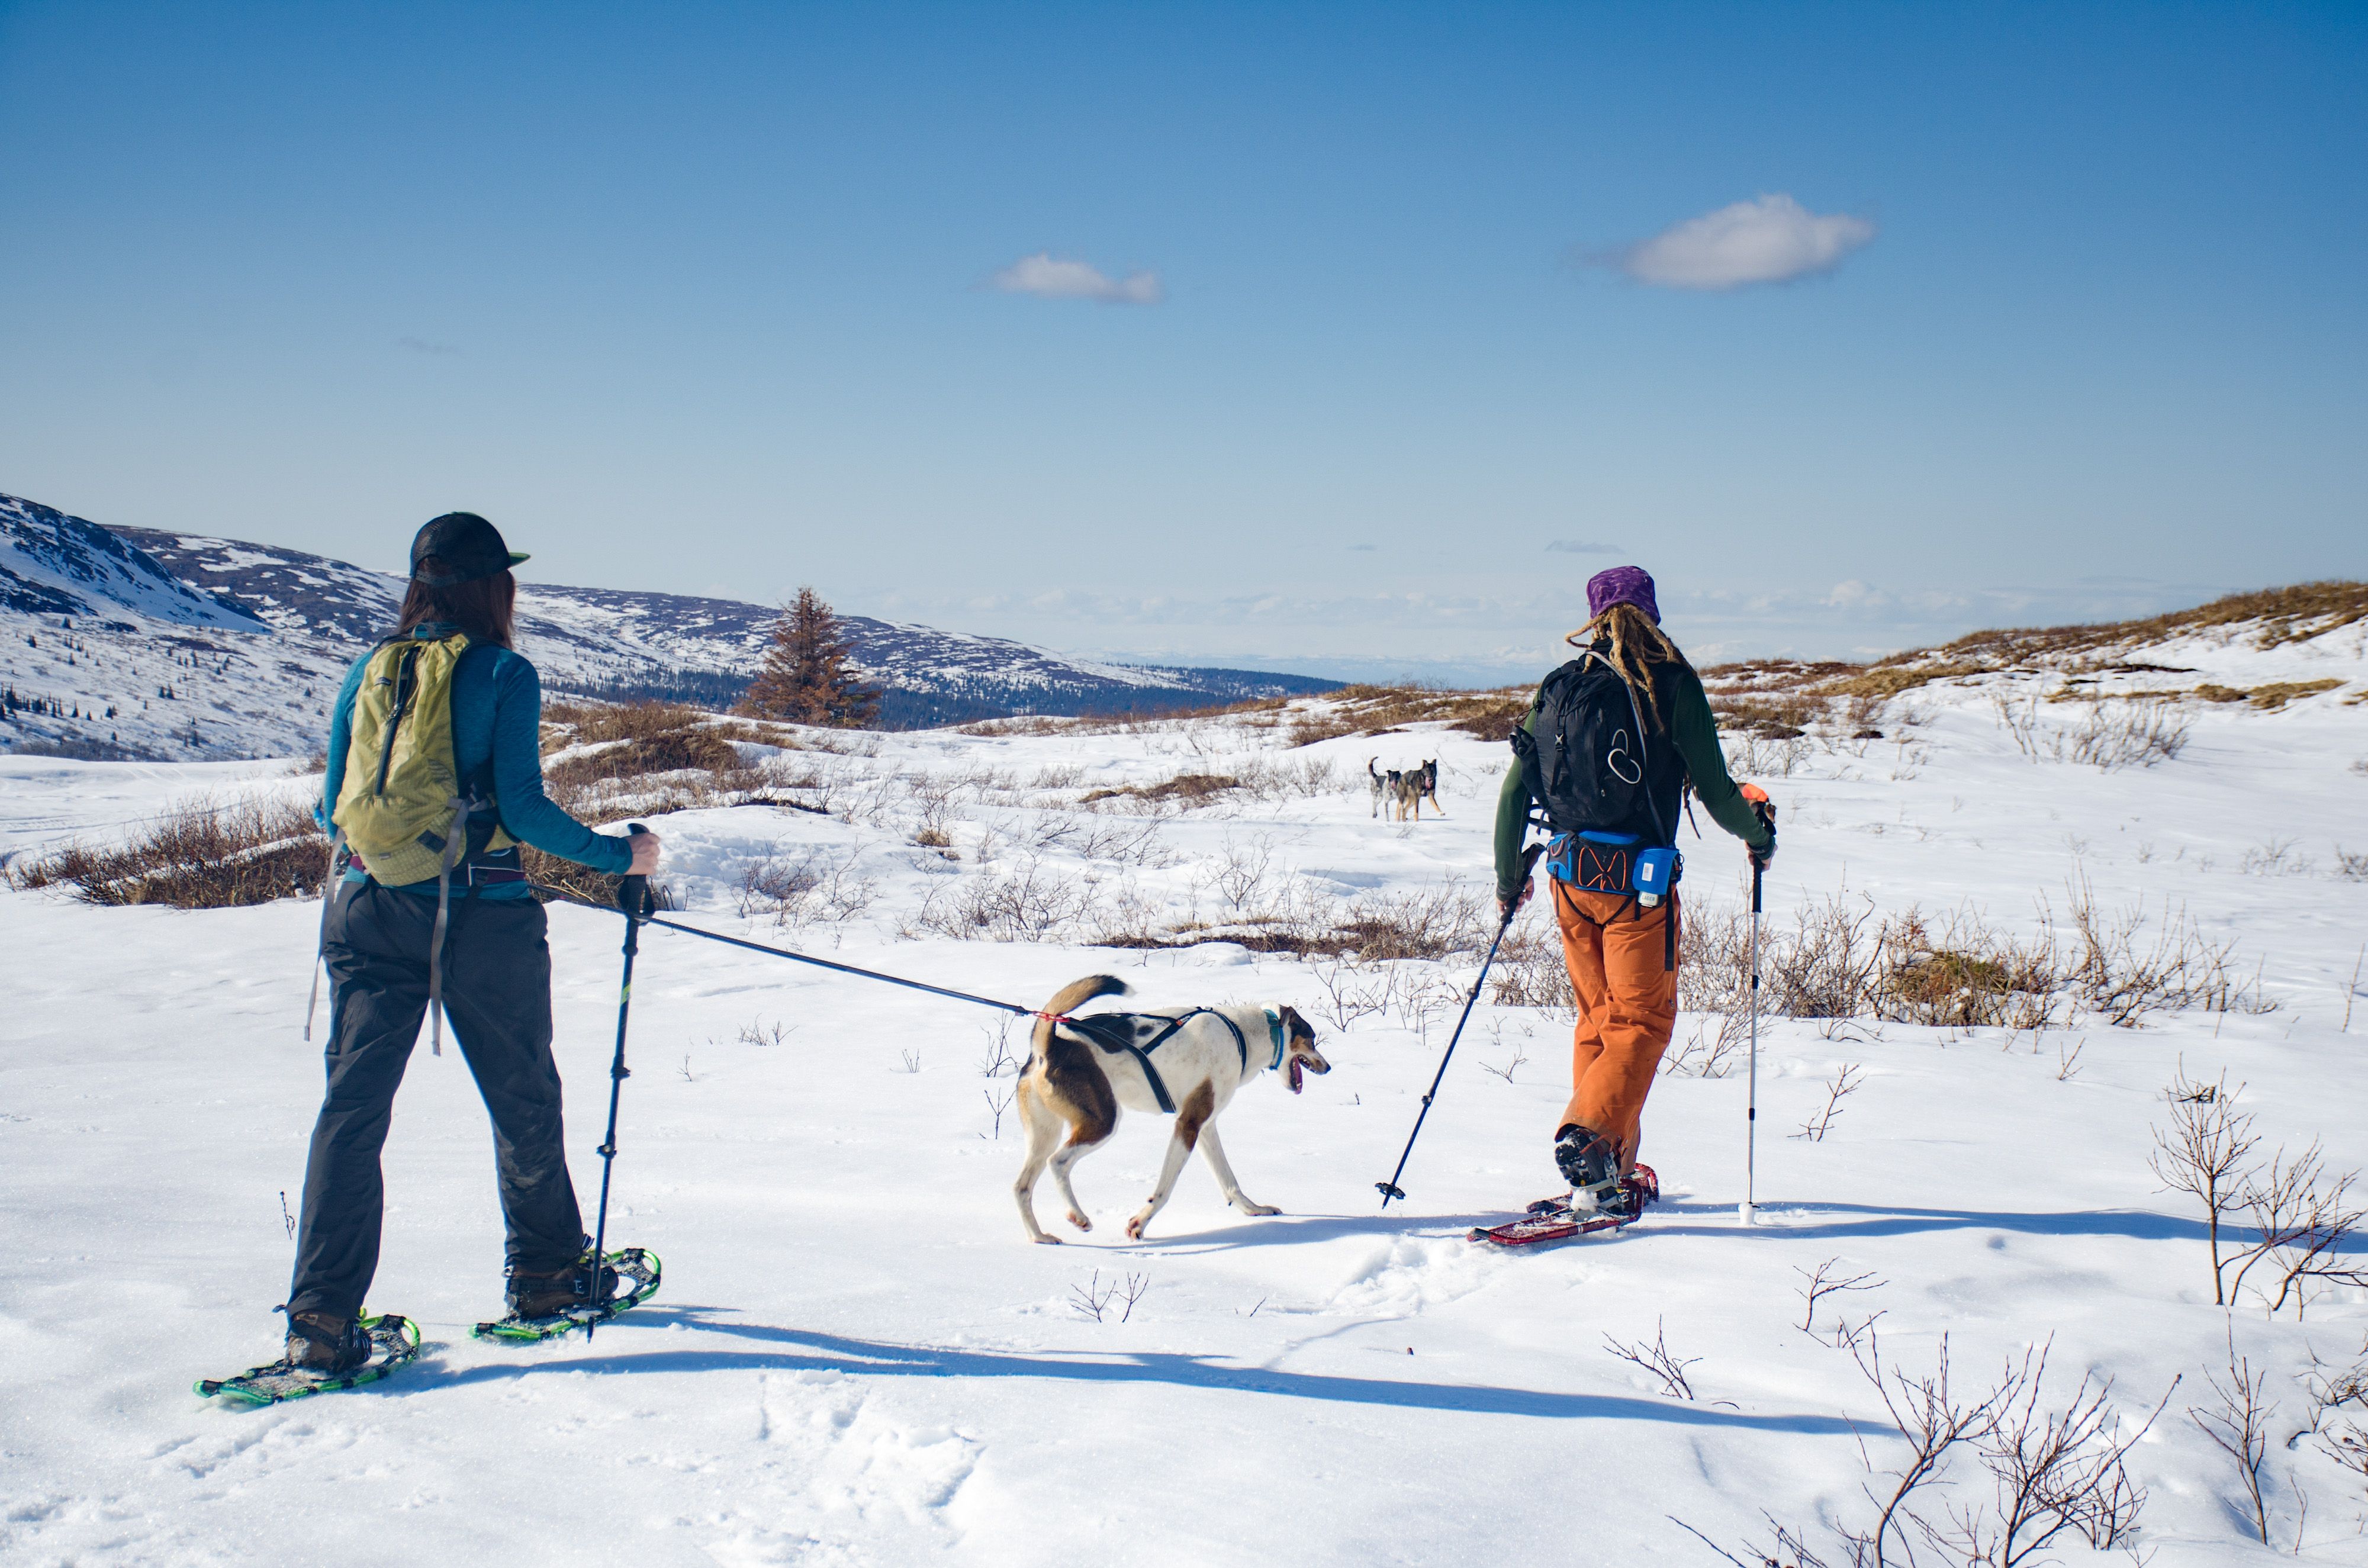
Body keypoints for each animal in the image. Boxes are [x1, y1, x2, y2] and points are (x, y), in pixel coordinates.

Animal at [1014, 975, 1336, 1250]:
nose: (1329, 1067)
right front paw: (1139, 1224)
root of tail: (1050, 1044)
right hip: (1103, 1123)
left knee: (1022, 1187)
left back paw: (1039, 1237)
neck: (1243, 1036)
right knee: (1059, 1163)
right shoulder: (1188, 1125)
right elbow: (1164, 1190)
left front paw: (1254, 1209)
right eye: (1311, 1039)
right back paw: (1077, 1217)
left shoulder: (1206, 1127)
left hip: (1043, 1137)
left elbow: (1230, 1182)